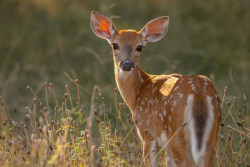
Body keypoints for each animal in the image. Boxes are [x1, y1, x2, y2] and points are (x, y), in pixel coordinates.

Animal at [90, 11, 221, 166]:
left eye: (140, 47)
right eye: (115, 45)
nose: (127, 64)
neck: (139, 91)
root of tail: (199, 93)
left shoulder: (146, 131)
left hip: (175, 132)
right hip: (211, 136)